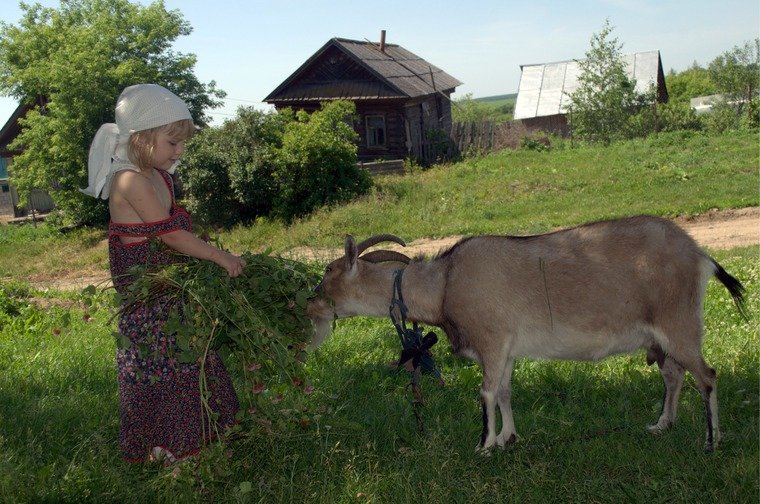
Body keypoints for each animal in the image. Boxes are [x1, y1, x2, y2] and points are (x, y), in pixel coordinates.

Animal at [306, 217, 747, 452]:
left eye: (327, 272)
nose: (310, 305)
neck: (445, 283)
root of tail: (700, 256)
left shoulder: (491, 340)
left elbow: (485, 392)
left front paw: (484, 444)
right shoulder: (507, 349)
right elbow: (504, 391)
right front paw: (508, 437)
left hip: (679, 325)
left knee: (707, 376)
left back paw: (712, 442)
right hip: (663, 336)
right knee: (674, 375)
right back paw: (662, 425)